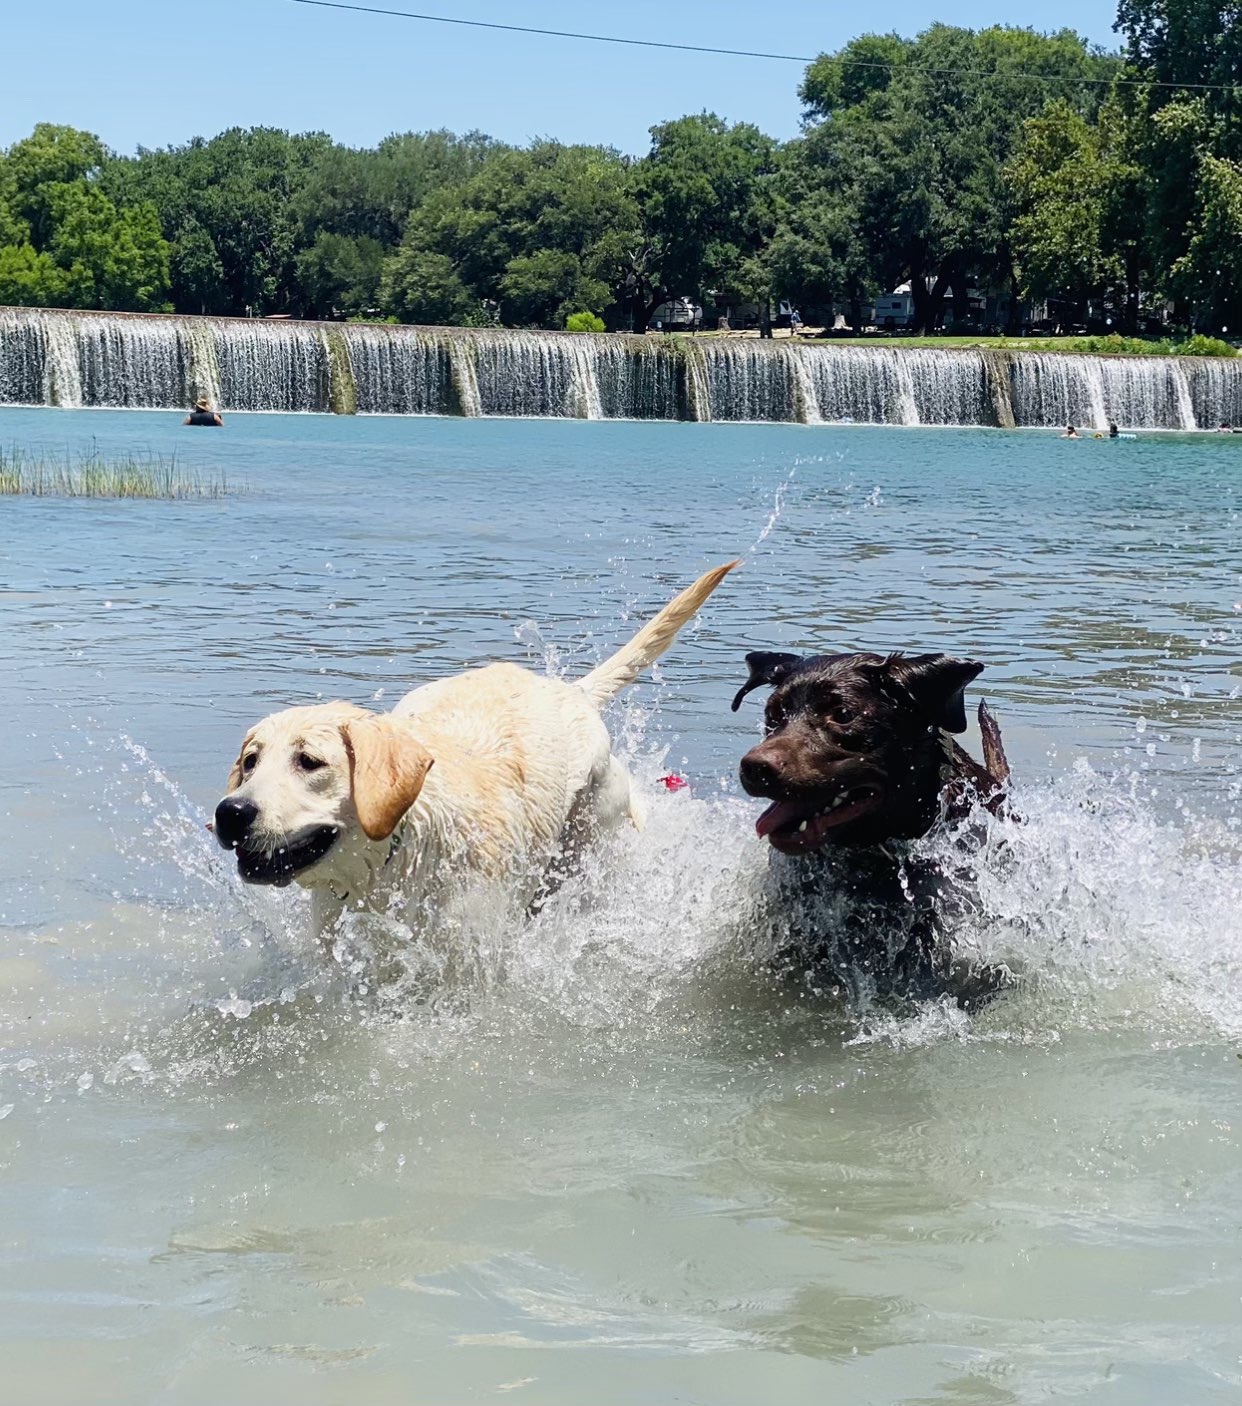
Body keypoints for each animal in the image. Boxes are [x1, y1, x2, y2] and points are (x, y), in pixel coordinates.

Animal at [213, 562, 737, 944]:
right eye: (251, 762)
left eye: (310, 762)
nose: (230, 812)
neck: (390, 867)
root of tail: (571, 692)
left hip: (589, 841)